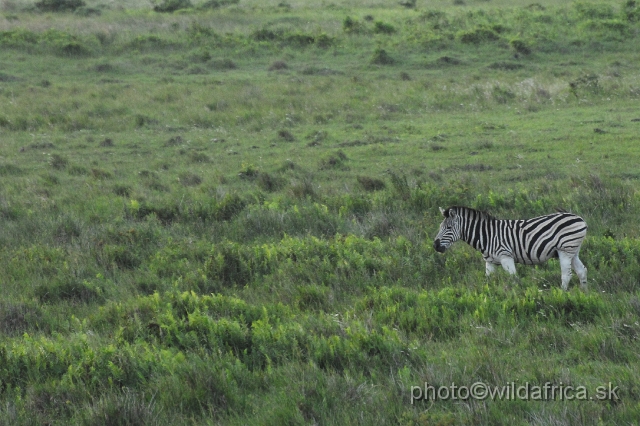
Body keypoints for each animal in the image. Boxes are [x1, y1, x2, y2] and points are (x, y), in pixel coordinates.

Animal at [432, 206, 588, 292]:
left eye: (449, 228)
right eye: (440, 227)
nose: (435, 246)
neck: (487, 235)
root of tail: (580, 218)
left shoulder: (506, 257)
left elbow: (514, 279)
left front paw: (515, 296)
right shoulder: (490, 262)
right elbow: (488, 281)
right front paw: (489, 296)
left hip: (565, 250)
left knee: (566, 274)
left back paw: (562, 293)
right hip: (573, 251)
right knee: (581, 271)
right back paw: (583, 293)